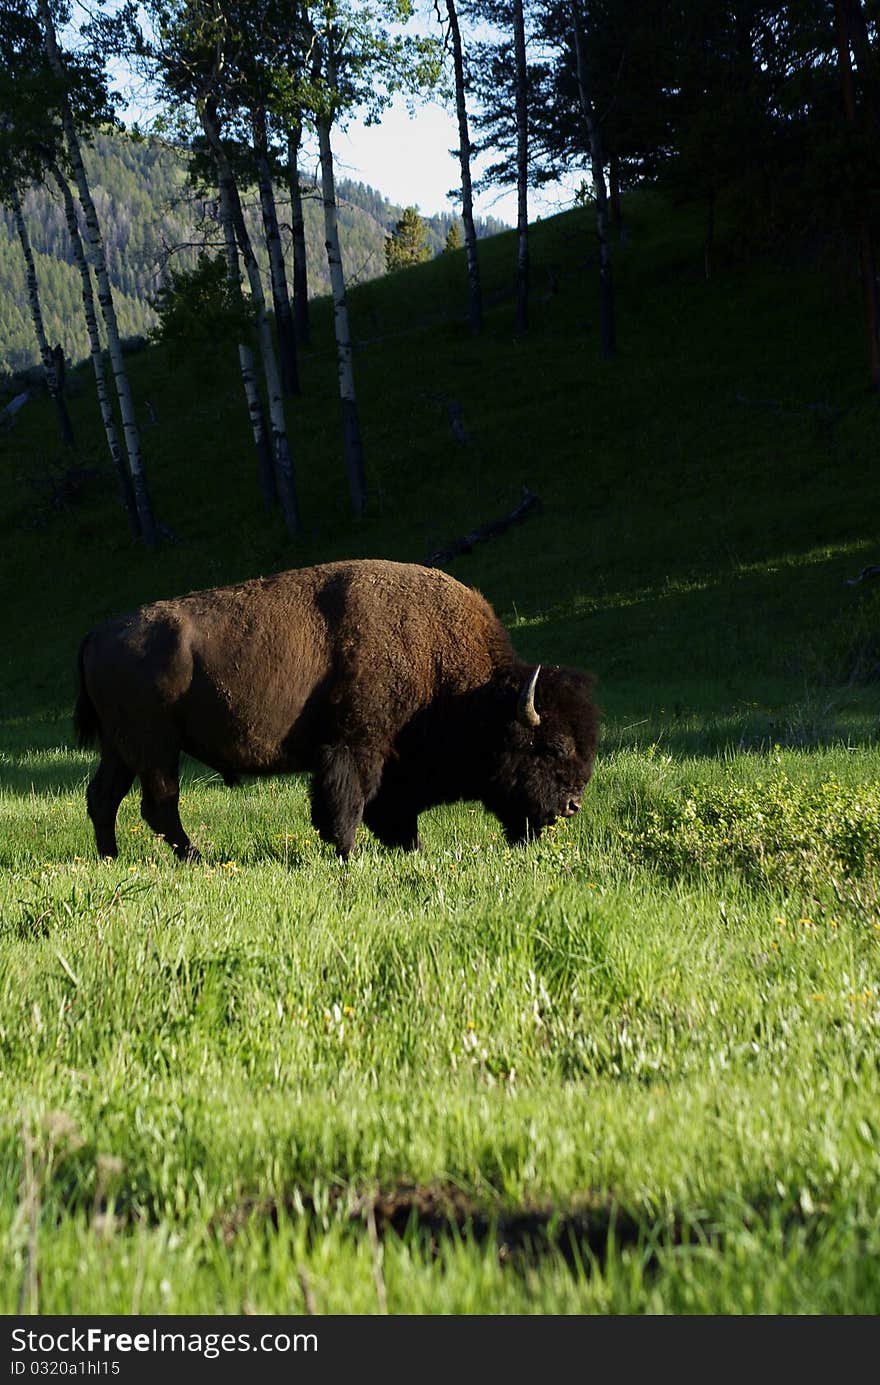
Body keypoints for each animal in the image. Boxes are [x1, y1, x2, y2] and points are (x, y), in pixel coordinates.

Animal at [75, 556, 598, 858]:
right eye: (549, 747)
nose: (572, 805)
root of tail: (97, 632)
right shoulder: (355, 746)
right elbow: (347, 803)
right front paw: (347, 853)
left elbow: (391, 809)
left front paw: (409, 848)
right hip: (156, 749)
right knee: (158, 804)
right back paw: (196, 858)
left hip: (122, 750)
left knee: (104, 797)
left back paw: (110, 857)